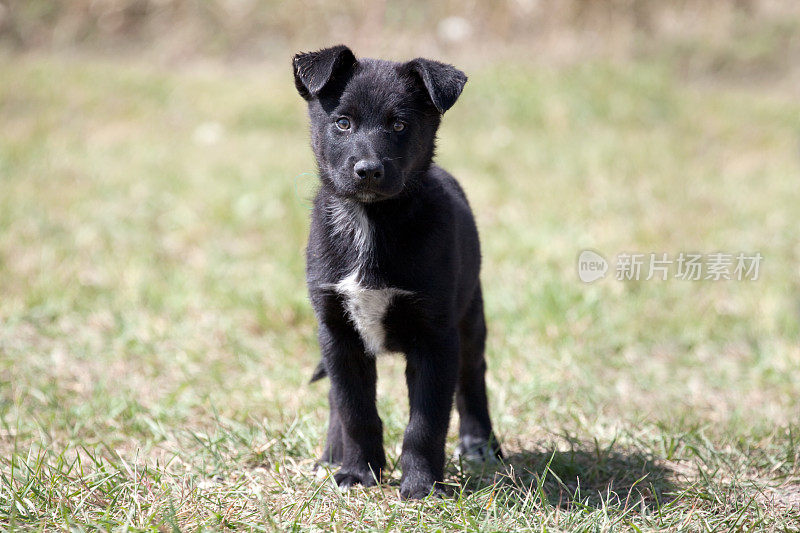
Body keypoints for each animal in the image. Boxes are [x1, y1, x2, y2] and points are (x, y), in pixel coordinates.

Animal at [294, 44, 500, 498]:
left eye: (400, 125)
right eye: (342, 122)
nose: (368, 170)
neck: (371, 222)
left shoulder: (435, 338)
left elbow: (425, 422)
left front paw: (422, 485)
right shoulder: (338, 332)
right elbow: (354, 410)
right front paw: (357, 472)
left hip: (470, 315)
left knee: (473, 375)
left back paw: (480, 445)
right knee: (337, 399)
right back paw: (332, 454)